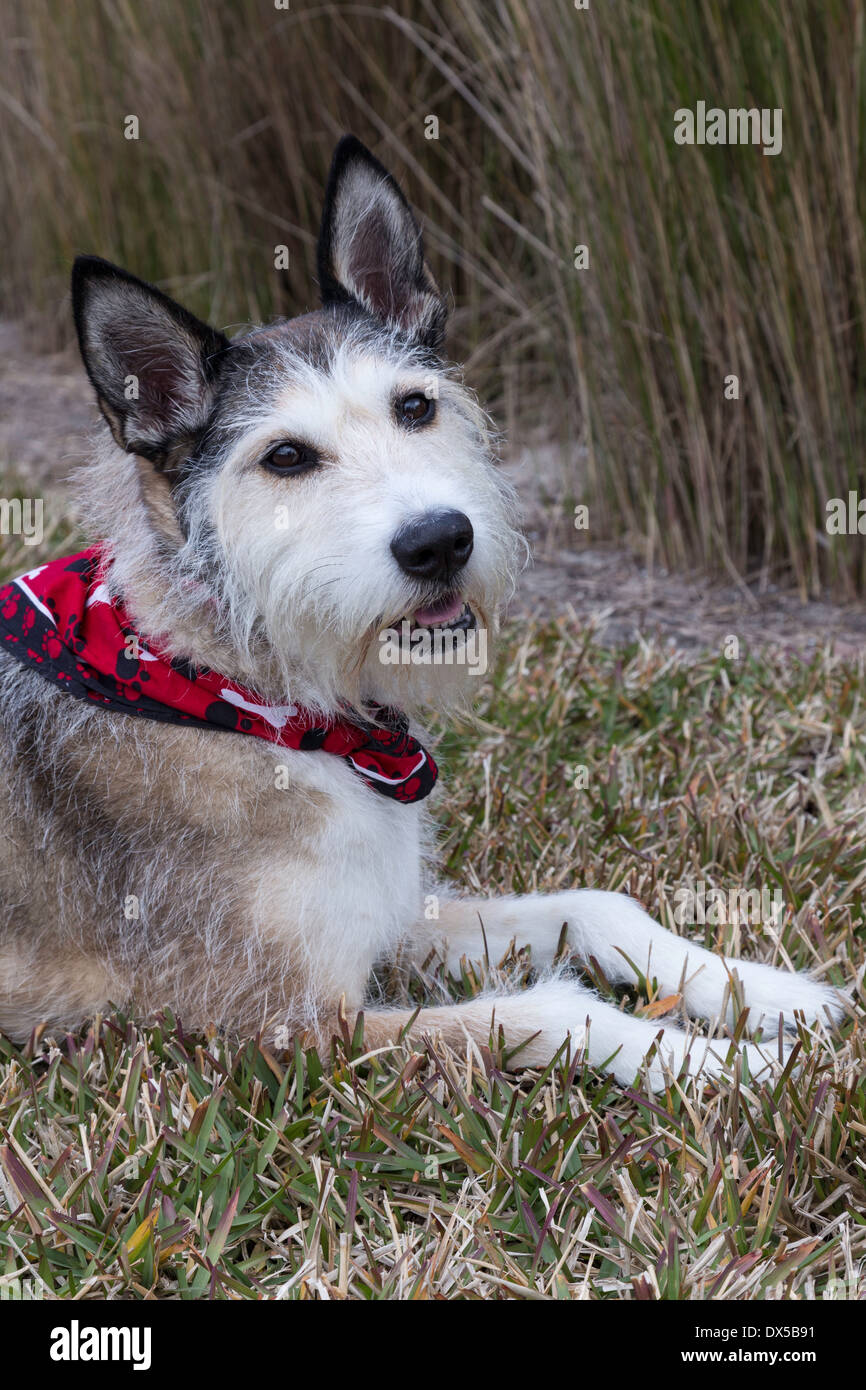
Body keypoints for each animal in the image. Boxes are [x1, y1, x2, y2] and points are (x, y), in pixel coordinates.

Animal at [0, 135, 845, 1084]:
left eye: (415, 406)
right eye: (285, 457)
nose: (440, 540)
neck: (239, 690)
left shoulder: (388, 917)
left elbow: (594, 904)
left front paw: (766, 992)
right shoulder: (275, 1029)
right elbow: (556, 1010)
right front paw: (731, 1066)